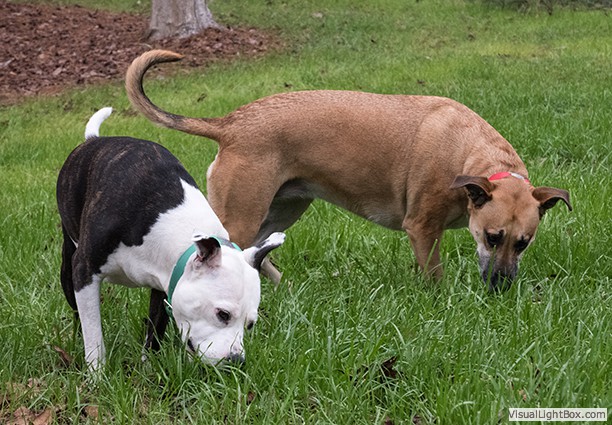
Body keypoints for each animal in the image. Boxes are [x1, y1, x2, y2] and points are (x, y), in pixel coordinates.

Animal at [57, 107, 285, 370]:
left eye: (250, 324)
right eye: (222, 314)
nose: (236, 360)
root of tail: (94, 140)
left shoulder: (163, 284)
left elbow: (154, 332)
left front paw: (147, 369)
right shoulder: (85, 274)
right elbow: (94, 336)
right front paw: (96, 373)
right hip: (68, 266)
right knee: (77, 311)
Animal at [125, 50, 571, 291]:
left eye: (524, 243)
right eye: (492, 237)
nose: (501, 288)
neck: (472, 160)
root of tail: (230, 123)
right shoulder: (422, 228)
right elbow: (434, 275)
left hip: (281, 210)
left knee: (257, 253)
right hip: (242, 212)